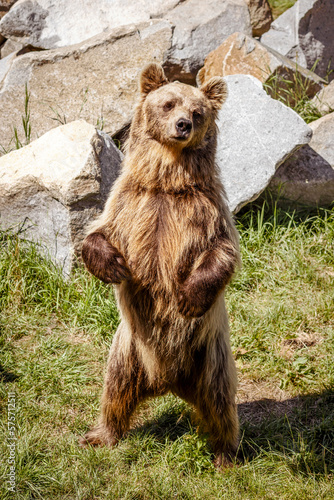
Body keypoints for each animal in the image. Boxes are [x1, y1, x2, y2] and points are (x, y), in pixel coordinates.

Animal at [79, 62, 240, 468]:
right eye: (168, 104)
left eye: (197, 112)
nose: (183, 125)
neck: (167, 182)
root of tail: (168, 382)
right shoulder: (128, 203)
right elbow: (95, 234)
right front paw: (116, 267)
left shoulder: (207, 209)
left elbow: (222, 252)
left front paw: (187, 299)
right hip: (128, 349)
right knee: (115, 390)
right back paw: (100, 435)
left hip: (209, 354)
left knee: (220, 401)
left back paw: (225, 453)